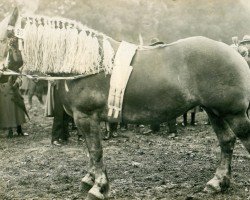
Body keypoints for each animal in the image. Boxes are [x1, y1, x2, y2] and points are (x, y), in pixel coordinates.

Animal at [4, 7, 250, 200]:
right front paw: (90, 178)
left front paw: (99, 187)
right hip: (215, 112)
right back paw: (217, 183)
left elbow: (95, 150)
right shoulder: (85, 119)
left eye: (5, 38)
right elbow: (90, 150)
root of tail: (235, 54)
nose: (5, 77)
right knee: (227, 142)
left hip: (234, 113)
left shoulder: (86, 116)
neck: (87, 62)